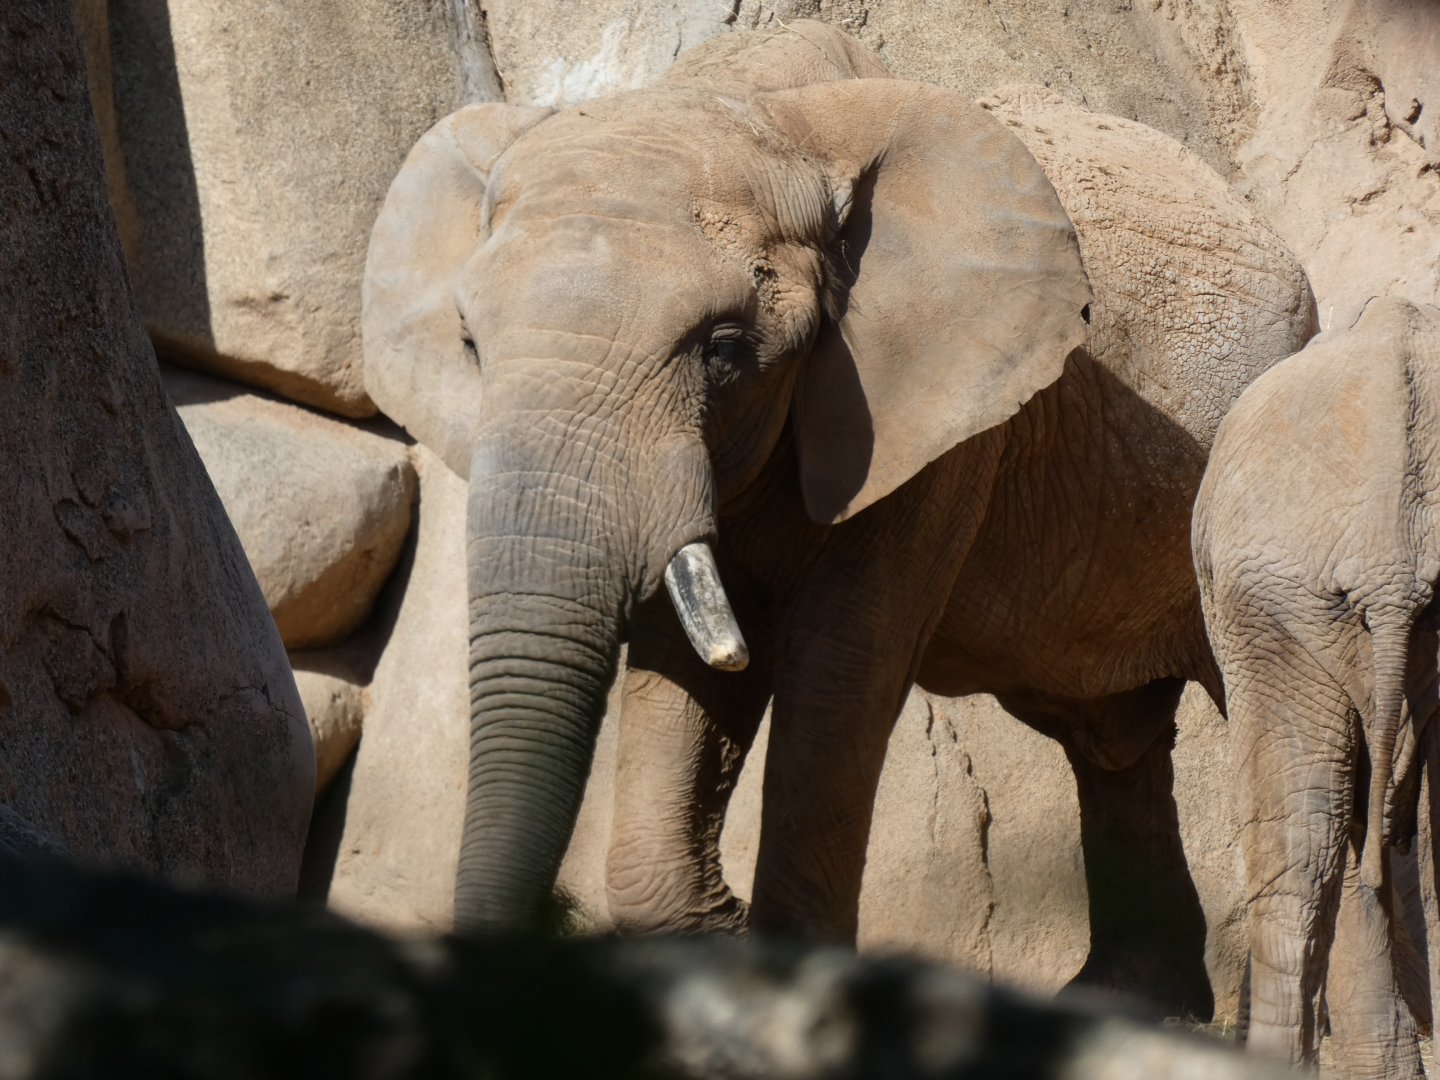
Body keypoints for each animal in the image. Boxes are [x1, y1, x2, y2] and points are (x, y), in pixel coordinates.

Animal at [361, 21, 1316, 1018]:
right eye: (471, 343)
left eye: (724, 349)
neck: (760, 106)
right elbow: (687, 664)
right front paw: (716, 938)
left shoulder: (938, 426)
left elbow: (842, 667)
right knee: (1113, 742)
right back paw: (1133, 1004)